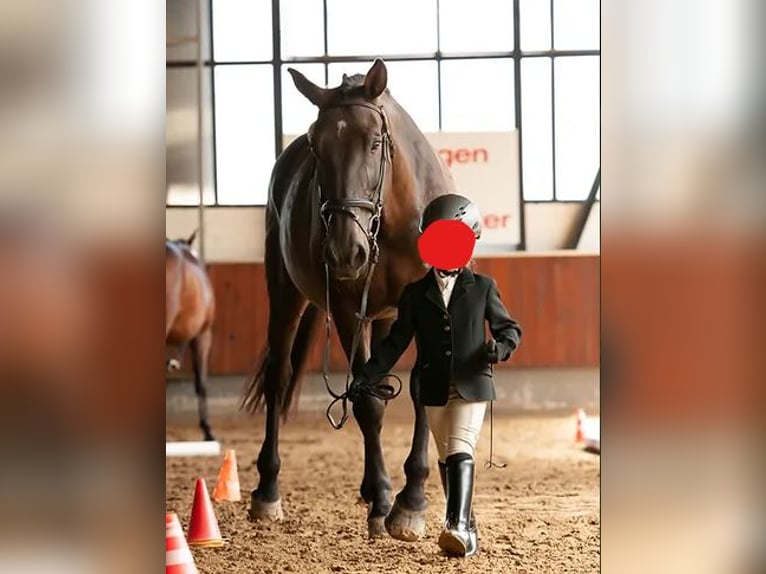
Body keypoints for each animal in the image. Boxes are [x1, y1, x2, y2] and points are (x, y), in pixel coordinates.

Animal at [242, 58, 456, 540]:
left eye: (375, 142)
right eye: (317, 148)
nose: (345, 251)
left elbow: (417, 391)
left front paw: (412, 500)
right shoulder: (344, 309)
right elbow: (367, 404)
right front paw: (386, 502)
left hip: (384, 316)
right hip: (285, 293)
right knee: (279, 377)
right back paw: (268, 491)